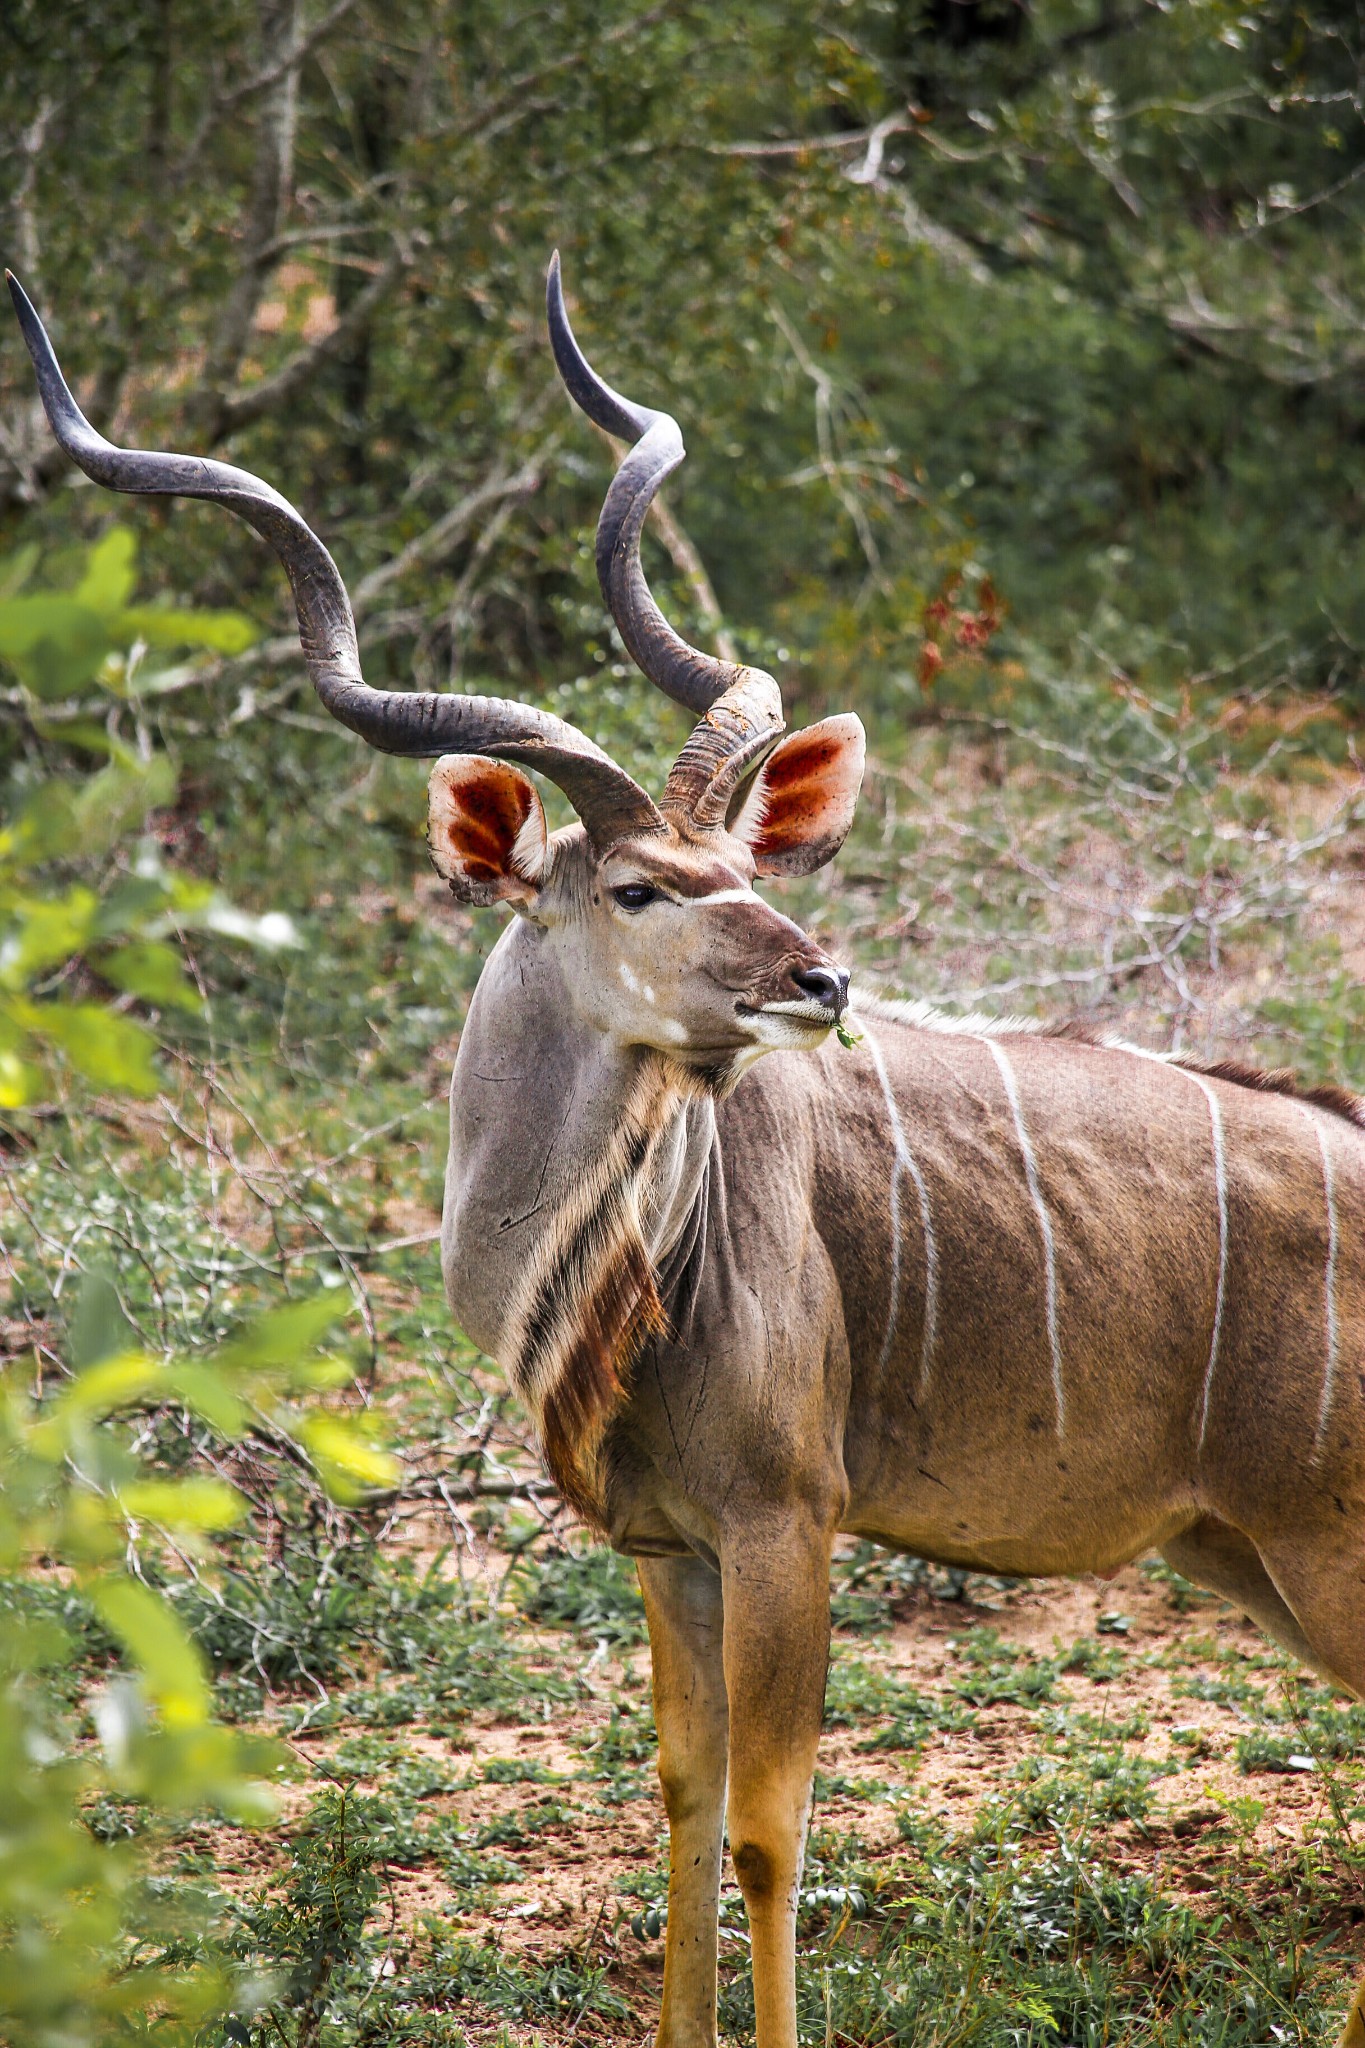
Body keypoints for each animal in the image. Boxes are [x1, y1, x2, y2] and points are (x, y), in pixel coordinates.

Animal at [15, 260, 1365, 2048]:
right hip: (1257, 1559)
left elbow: (768, 1827)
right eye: (644, 885)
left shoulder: (788, 1525)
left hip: (1323, 1548)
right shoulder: (674, 1552)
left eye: (748, 864)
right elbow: (677, 1789)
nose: (819, 981)